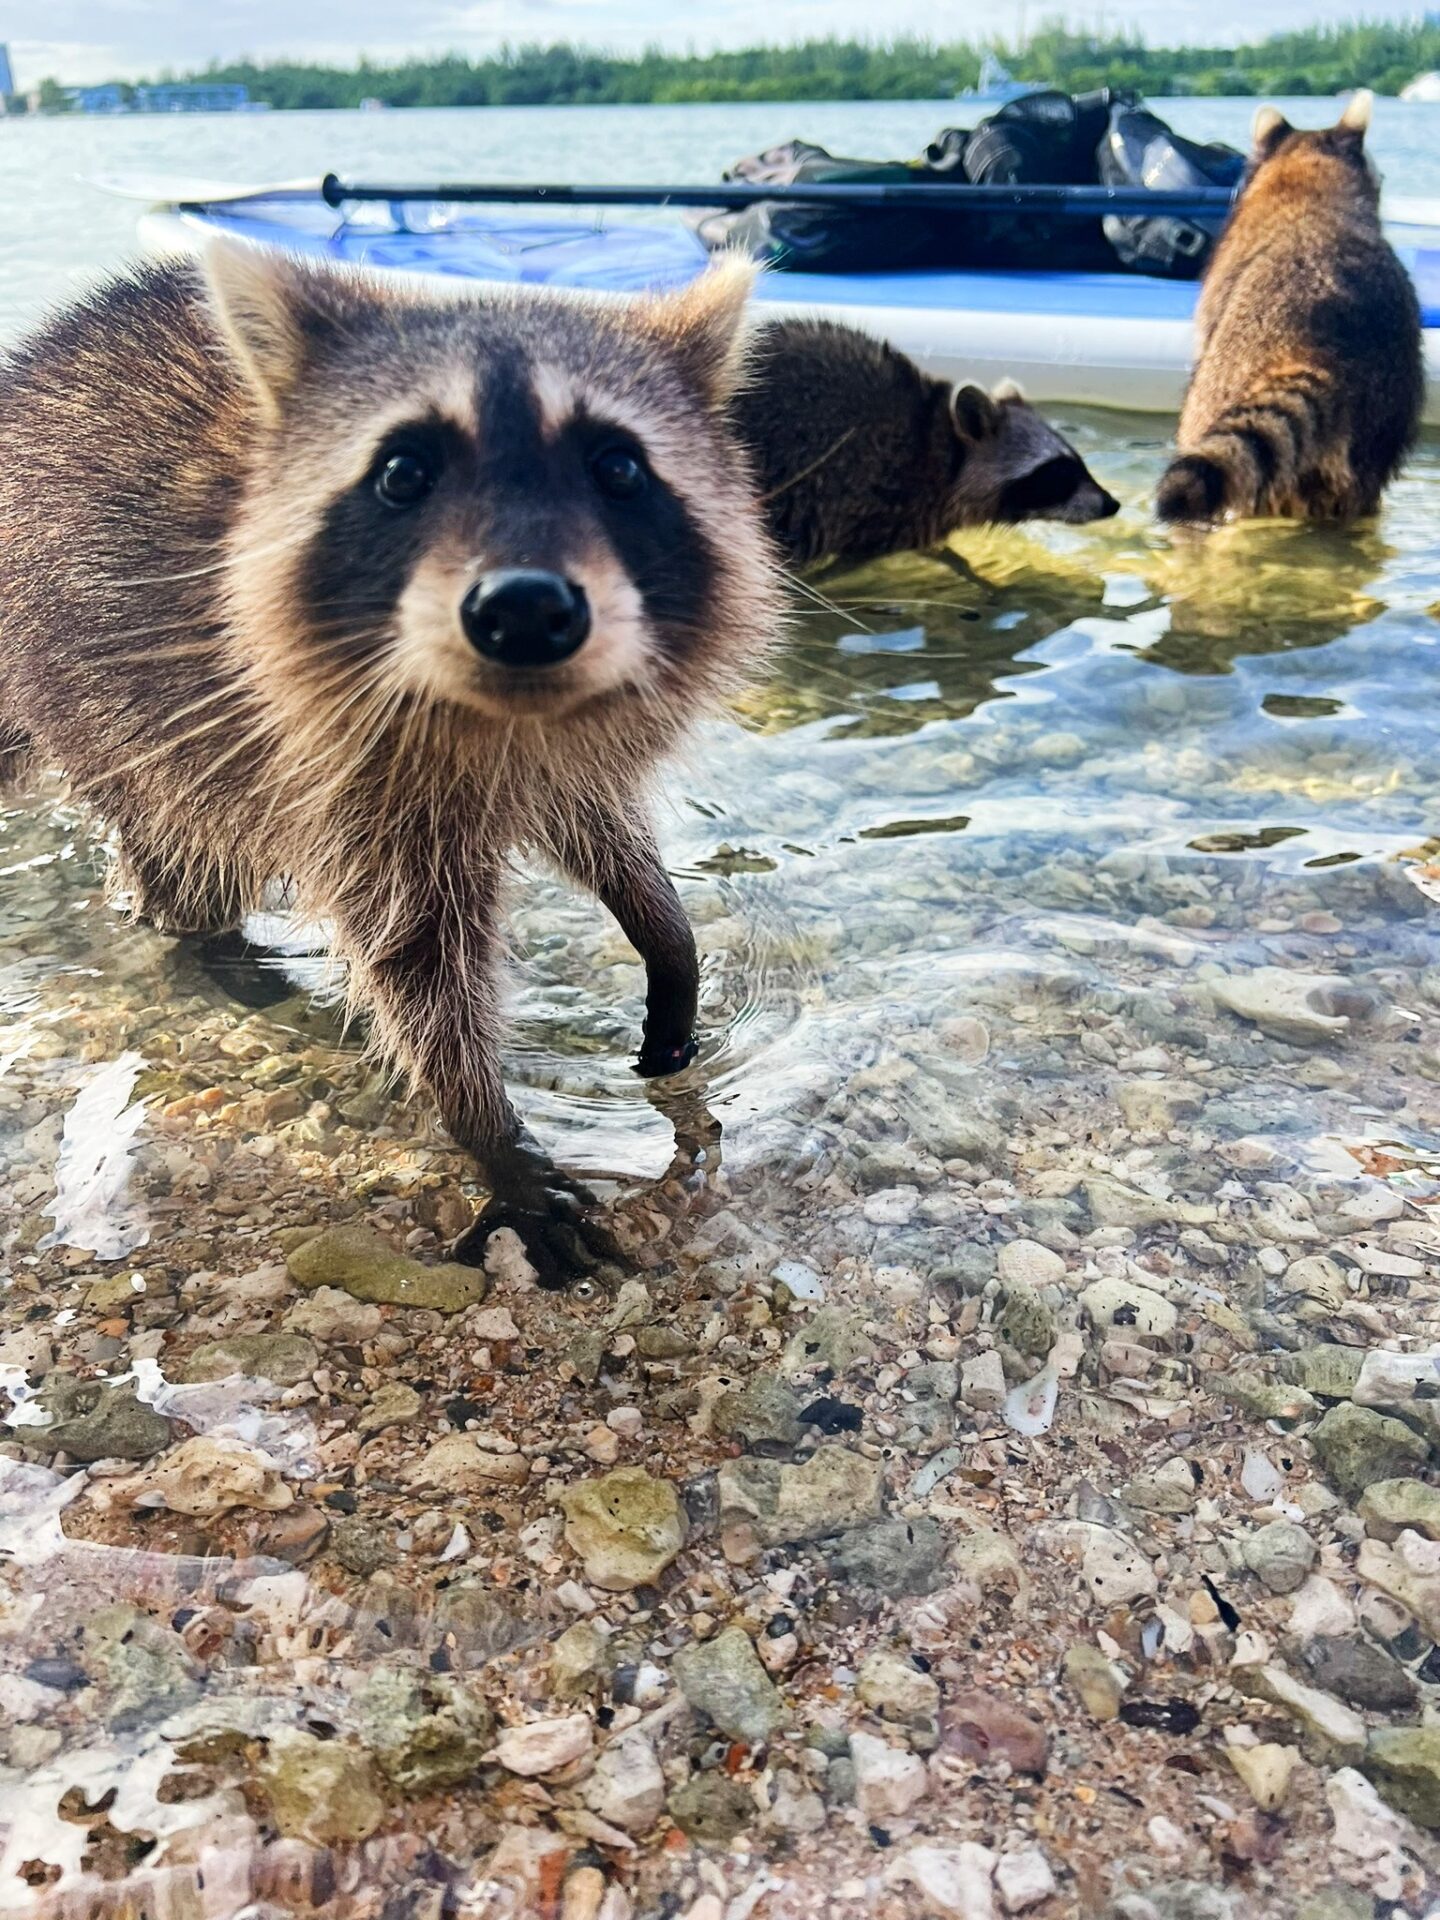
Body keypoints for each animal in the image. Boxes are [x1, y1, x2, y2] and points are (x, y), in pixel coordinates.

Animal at [0, 247, 779, 1282]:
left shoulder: (565, 759)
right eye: (403, 473)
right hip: (106, 703)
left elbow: (604, 834)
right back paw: (214, 944)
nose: (524, 608)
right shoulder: (327, 766)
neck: (503, 719)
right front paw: (491, 1133)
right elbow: (416, 963)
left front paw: (665, 934)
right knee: (193, 851)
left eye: (617, 466)